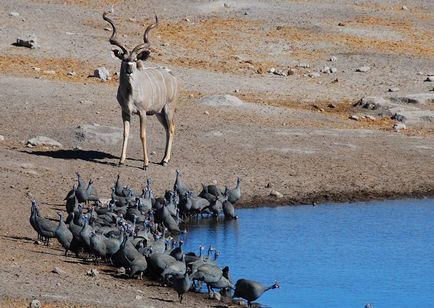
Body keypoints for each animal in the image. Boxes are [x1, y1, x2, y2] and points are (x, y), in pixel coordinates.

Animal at [102, 12, 177, 170]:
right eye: (124, 59)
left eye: (135, 59)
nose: (129, 71)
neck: (130, 94)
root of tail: (172, 75)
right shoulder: (125, 112)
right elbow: (125, 133)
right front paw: (121, 161)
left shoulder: (142, 112)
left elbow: (142, 135)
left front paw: (145, 164)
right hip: (159, 113)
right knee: (167, 129)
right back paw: (162, 159)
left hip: (168, 109)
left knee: (172, 128)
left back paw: (166, 160)